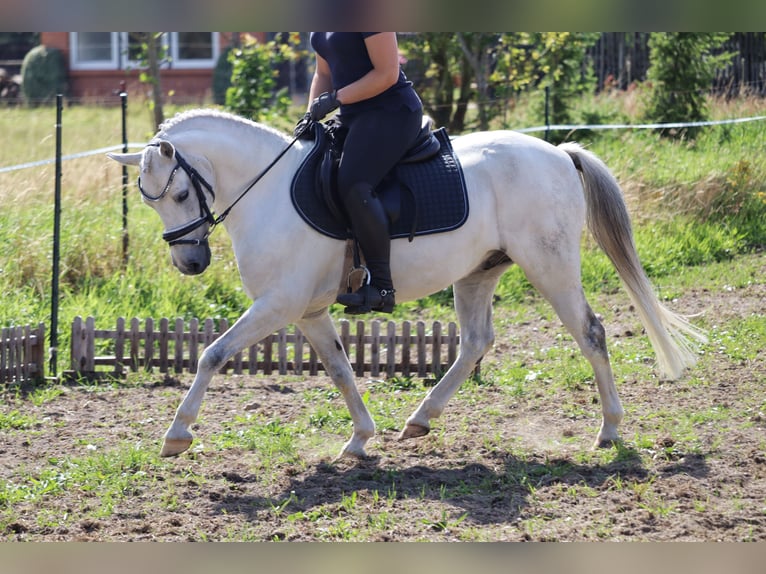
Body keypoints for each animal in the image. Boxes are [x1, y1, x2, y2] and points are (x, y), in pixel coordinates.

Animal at [109, 107, 708, 460]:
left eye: (179, 194)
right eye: (148, 200)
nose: (189, 262)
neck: (268, 191)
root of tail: (559, 153)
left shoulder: (278, 305)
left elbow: (211, 354)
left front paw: (178, 434)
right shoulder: (308, 311)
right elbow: (341, 370)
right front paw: (359, 439)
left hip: (550, 266)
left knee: (591, 332)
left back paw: (609, 430)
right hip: (478, 272)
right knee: (475, 343)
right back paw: (420, 420)